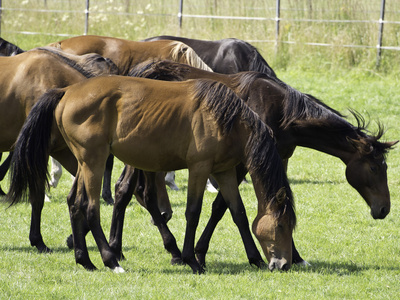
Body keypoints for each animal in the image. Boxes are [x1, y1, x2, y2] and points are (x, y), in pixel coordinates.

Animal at [5, 75, 294, 274]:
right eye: (281, 226)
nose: (283, 264)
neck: (225, 119)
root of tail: (67, 91)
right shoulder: (199, 168)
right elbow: (193, 213)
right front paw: (192, 260)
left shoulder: (223, 172)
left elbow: (239, 213)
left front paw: (255, 258)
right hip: (93, 161)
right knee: (90, 207)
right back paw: (111, 260)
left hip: (83, 164)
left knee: (75, 204)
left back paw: (85, 260)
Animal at [112, 60, 396, 268]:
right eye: (374, 168)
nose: (384, 209)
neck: (281, 111)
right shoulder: (240, 163)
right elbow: (222, 207)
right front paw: (202, 253)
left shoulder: (278, 157)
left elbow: (279, 202)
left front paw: (295, 255)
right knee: (129, 191)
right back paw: (150, 249)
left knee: (135, 192)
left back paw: (124, 249)